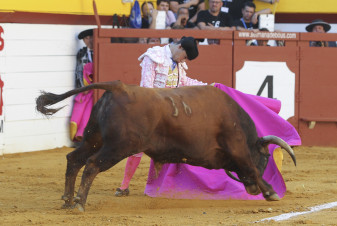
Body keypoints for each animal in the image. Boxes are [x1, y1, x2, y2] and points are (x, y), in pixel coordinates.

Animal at [35, 81, 296, 212]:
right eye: (266, 158)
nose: (250, 189)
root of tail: (118, 87)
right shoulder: (238, 148)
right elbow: (251, 168)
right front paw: (271, 192)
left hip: (93, 139)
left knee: (74, 160)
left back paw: (68, 200)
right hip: (118, 147)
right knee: (91, 165)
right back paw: (79, 202)